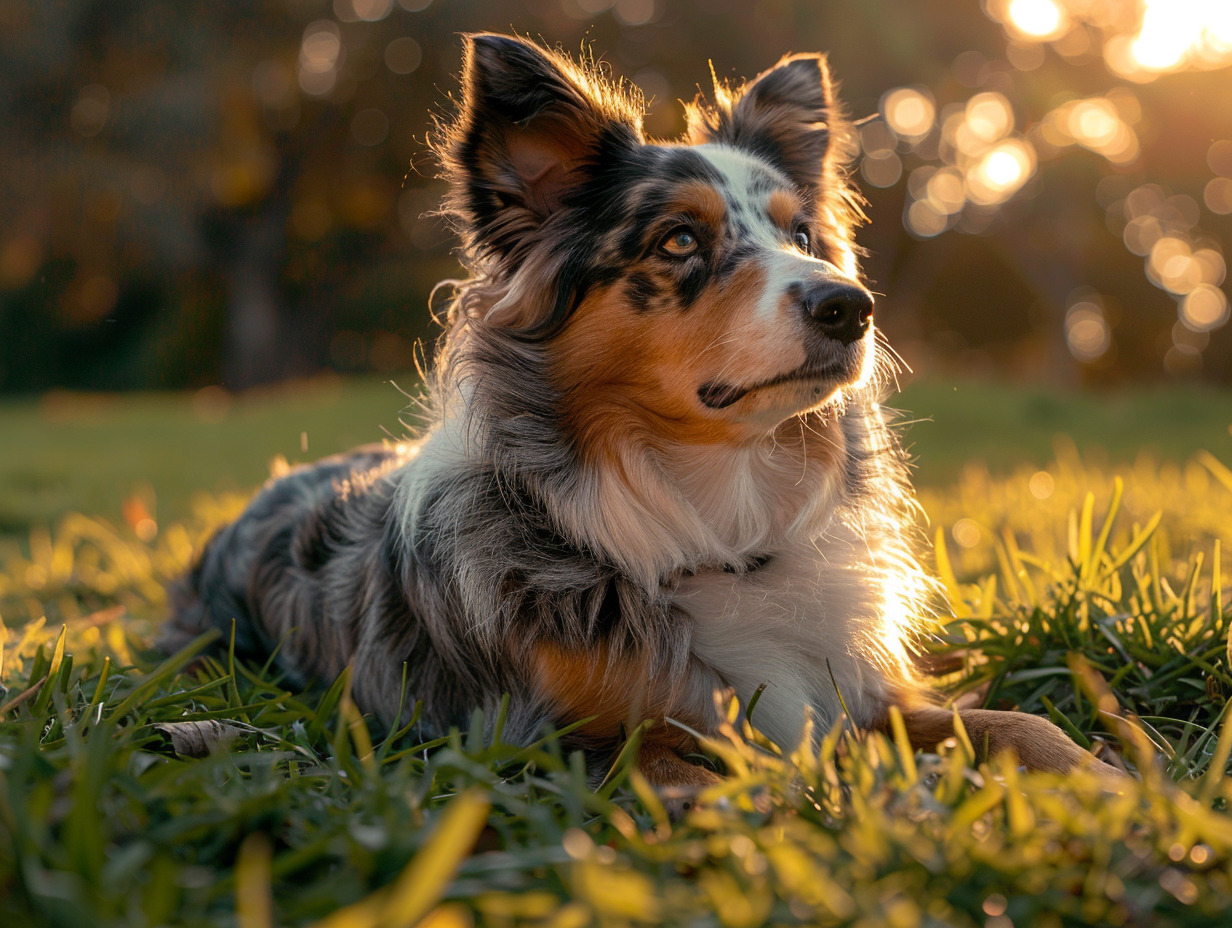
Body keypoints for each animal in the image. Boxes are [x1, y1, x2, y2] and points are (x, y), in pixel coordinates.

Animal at [163, 36, 1118, 788]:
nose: (851, 307)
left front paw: (1119, 781)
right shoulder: (535, 739)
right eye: (680, 241)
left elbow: (1018, 724)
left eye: (803, 236)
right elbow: (691, 771)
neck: (718, 522)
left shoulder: (857, 691)